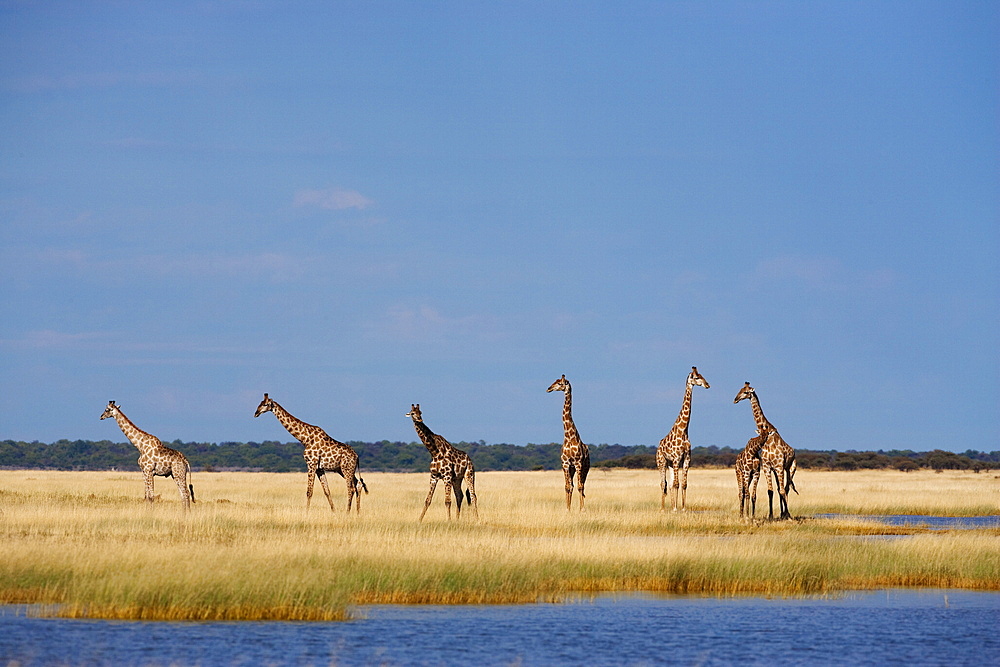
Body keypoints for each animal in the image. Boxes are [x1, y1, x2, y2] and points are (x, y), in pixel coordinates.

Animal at [544, 376, 588, 512]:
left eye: (560, 383)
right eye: (554, 381)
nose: (548, 388)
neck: (569, 436)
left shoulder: (578, 463)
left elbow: (579, 486)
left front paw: (582, 510)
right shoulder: (565, 464)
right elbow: (568, 486)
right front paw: (567, 509)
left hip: (585, 468)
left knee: (582, 485)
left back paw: (582, 507)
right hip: (570, 468)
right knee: (571, 485)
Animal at [656, 368, 712, 516]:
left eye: (702, 375)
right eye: (697, 377)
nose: (707, 385)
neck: (683, 429)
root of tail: (658, 447)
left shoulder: (686, 458)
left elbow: (684, 483)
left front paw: (682, 508)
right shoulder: (677, 458)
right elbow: (676, 483)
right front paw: (676, 509)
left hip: (670, 464)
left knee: (669, 484)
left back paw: (670, 506)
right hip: (661, 462)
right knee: (663, 483)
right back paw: (663, 508)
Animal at [732, 380, 800, 520]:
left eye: (746, 392)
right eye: (739, 389)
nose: (735, 399)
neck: (768, 439)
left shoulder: (778, 466)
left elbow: (782, 490)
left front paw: (787, 515)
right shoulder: (767, 467)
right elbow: (770, 491)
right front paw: (770, 515)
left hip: (790, 469)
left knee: (786, 488)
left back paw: (786, 514)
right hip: (777, 470)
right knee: (780, 488)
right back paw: (781, 513)